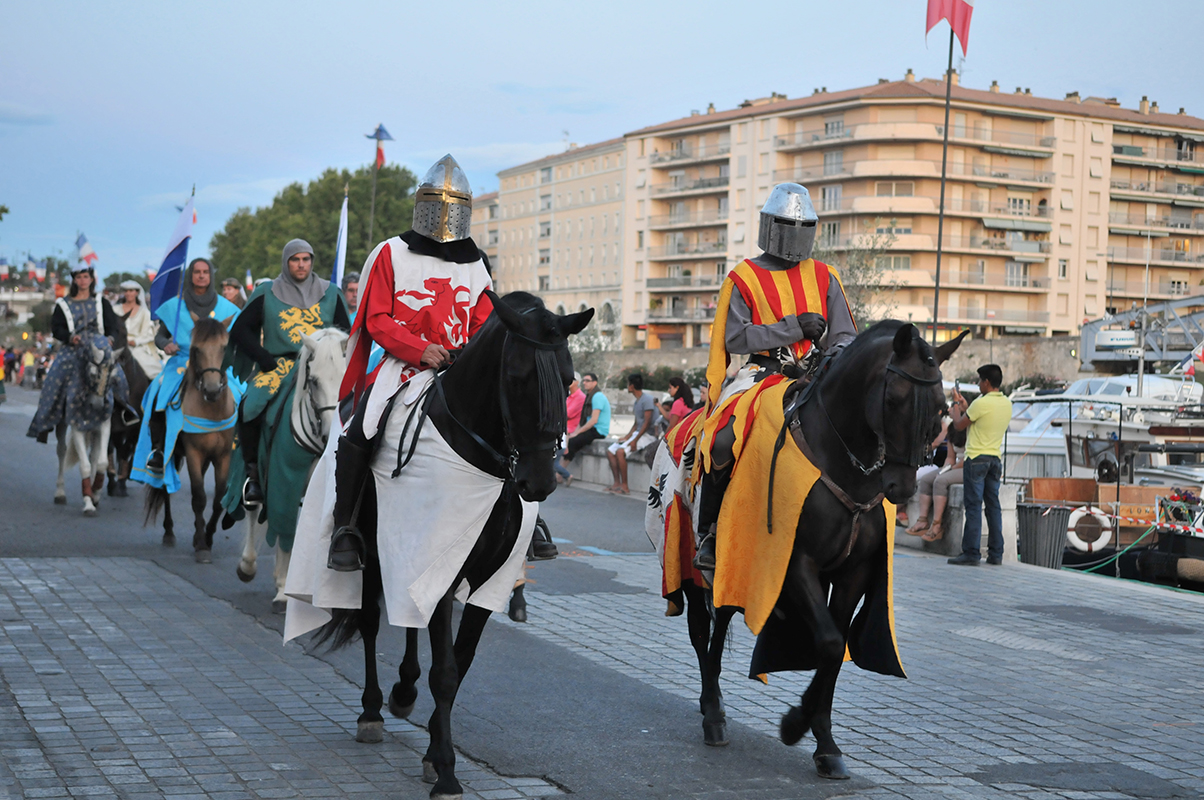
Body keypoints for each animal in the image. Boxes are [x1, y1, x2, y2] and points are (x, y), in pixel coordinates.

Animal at [54, 339, 116, 518]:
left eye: (111, 375)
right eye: (93, 374)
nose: (98, 404)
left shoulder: (104, 426)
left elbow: (102, 462)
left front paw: (94, 494)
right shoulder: (77, 427)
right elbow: (85, 466)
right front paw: (88, 504)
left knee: (94, 456)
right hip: (62, 423)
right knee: (61, 450)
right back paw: (60, 493)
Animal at [144, 318, 235, 561]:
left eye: (224, 347)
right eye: (196, 349)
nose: (212, 390)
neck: (211, 411)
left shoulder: (222, 456)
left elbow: (217, 499)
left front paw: (206, 537)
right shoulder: (194, 453)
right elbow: (199, 497)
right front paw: (202, 546)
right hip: (170, 453)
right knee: (166, 488)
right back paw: (169, 532)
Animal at [235, 327, 346, 614]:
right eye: (314, 381)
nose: (330, 435)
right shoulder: (284, 479)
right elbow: (285, 528)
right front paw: (283, 591)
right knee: (254, 510)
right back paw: (248, 566)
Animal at [313, 293, 589, 800]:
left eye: (568, 380)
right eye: (517, 378)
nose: (538, 482)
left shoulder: (482, 577)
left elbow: (458, 665)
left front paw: (431, 752)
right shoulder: (439, 566)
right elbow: (443, 671)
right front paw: (444, 770)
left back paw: (403, 691)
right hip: (376, 554)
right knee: (369, 621)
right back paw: (372, 710)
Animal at [683, 322, 963, 775]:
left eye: (941, 405)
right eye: (893, 398)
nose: (901, 487)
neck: (844, 468)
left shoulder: (853, 573)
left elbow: (834, 650)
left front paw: (825, 742)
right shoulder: (796, 564)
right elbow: (830, 643)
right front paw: (795, 724)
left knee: (717, 629)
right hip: (705, 568)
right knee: (703, 632)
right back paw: (712, 713)